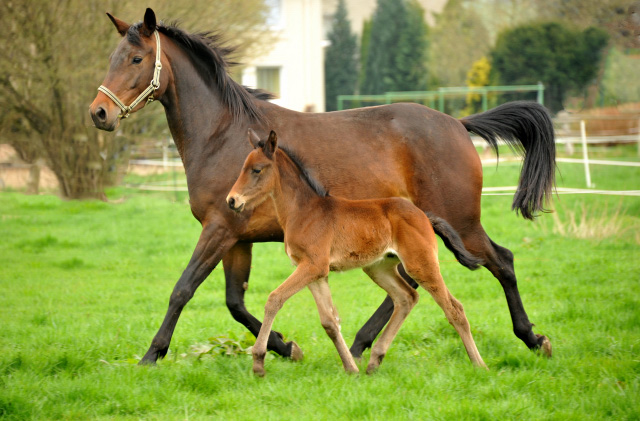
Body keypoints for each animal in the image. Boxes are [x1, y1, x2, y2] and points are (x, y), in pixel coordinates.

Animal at [225, 130, 484, 374]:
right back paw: (374, 361)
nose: (231, 200)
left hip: (421, 263)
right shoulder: (314, 272)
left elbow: (274, 299)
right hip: (379, 268)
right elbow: (330, 321)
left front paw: (258, 362)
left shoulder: (313, 266)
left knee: (454, 308)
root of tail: (425, 216)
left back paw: (480, 365)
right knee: (407, 298)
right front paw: (351, 369)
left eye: (257, 169)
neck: (305, 211)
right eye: (243, 168)